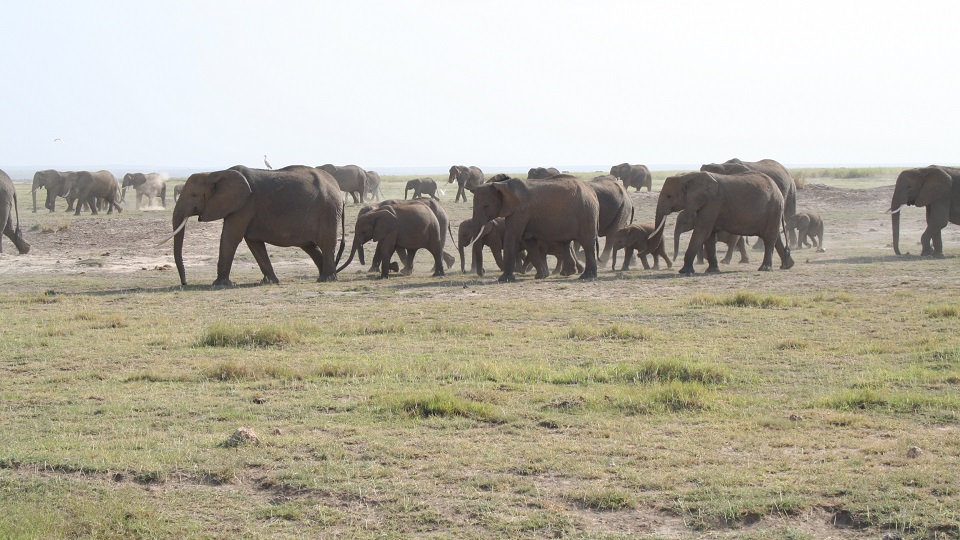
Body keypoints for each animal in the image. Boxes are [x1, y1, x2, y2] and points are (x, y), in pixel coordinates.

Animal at [169, 164, 344, 286]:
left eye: (194, 195)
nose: (185, 283)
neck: (216, 173)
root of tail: (336, 186)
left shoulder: (246, 204)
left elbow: (230, 237)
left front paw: (219, 284)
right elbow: (253, 242)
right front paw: (269, 282)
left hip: (328, 211)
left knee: (326, 244)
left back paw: (326, 279)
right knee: (310, 247)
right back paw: (324, 277)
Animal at [468, 174, 600, 281]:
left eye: (486, 206)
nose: (483, 272)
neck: (502, 185)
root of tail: (592, 191)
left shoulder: (520, 211)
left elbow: (512, 237)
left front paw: (504, 279)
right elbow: (528, 242)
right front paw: (541, 276)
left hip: (586, 212)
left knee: (587, 243)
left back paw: (587, 276)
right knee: (566, 243)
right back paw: (568, 273)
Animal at [652, 171, 793, 274]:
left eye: (669, 196)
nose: (673, 261)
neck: (687, 176)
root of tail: (778, 190)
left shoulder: (713, 203)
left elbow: (702, 232)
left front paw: (684, 272)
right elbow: (708, 236)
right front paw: (711, 271)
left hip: (773, 207)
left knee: (769, 237)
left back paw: (765, 269)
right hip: (773, 211)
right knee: (775, 237)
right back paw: (787, 265)